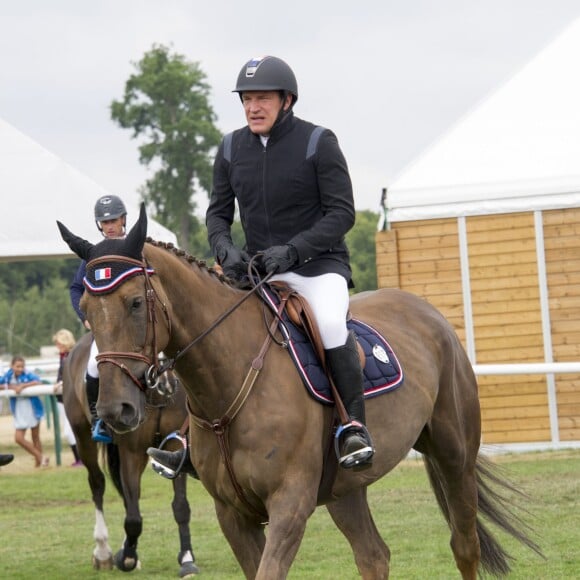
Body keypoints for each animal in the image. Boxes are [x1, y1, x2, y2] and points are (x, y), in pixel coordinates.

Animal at [62, 330, 199, 576]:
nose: (166, 383)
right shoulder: (132, 452)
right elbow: (134, 516)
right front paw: (127, 558)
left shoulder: (175, 447)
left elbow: (181, 506)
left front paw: (187, 558)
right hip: (82, 437)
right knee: (97, 484)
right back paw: (103, 552)